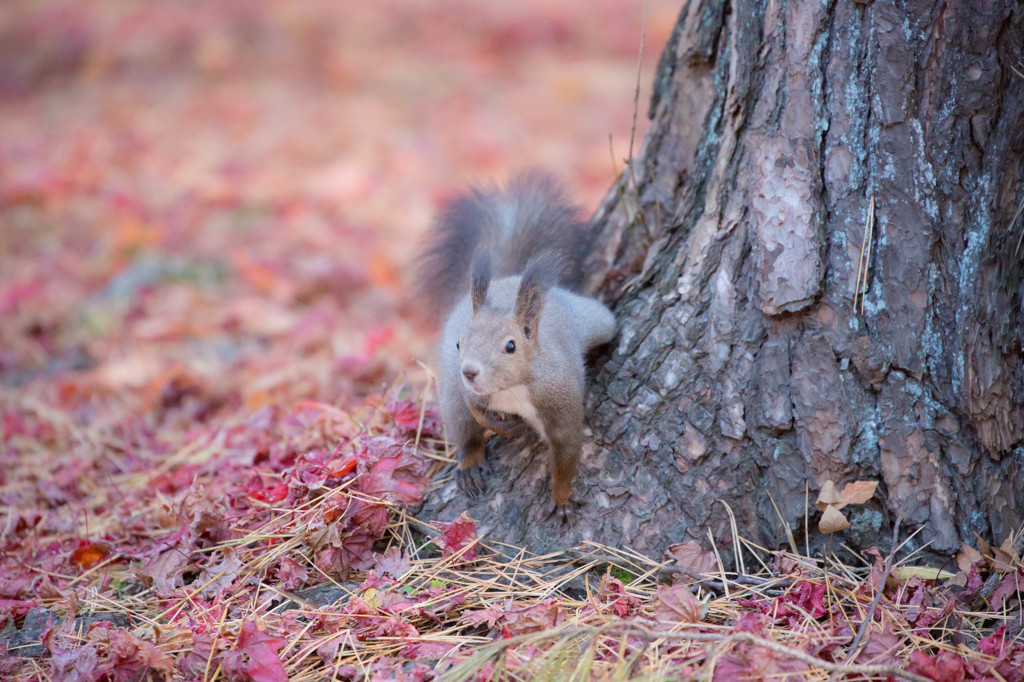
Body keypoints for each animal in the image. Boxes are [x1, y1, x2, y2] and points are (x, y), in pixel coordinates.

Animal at [417, 171, 614, 520]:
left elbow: (566, 453)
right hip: (451, 395)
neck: (513, 388)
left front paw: (562, 496)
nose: (469, 371)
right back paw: (470, 463)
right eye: (459, 342)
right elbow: (475, 409)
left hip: (597, 321)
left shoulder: (560, 399)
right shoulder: (470, 391)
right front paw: (504, 427)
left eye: (510, 346)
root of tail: (506, 278)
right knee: (462, 426)